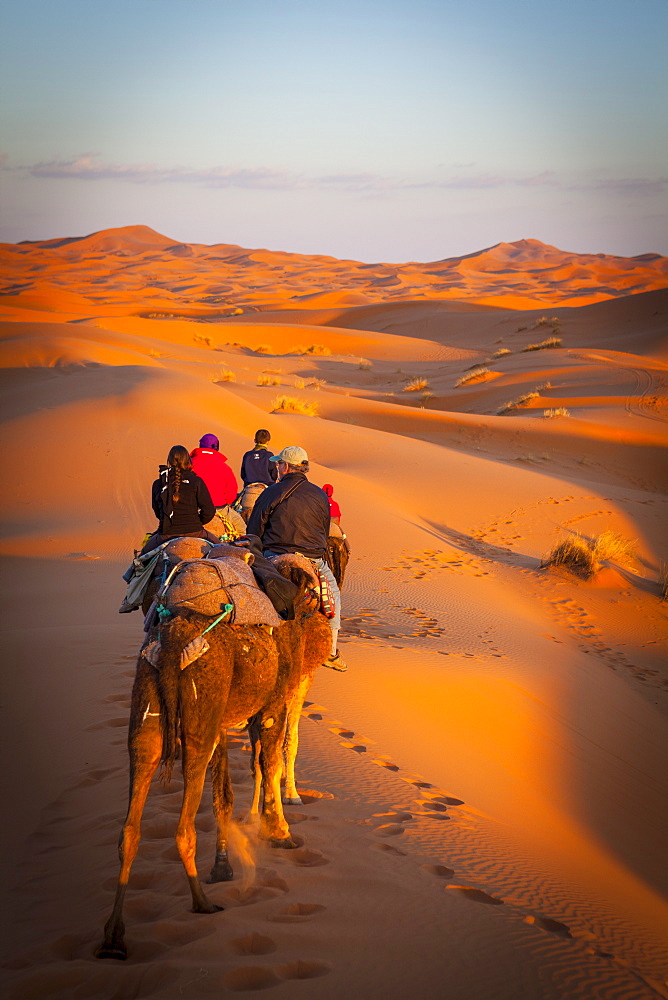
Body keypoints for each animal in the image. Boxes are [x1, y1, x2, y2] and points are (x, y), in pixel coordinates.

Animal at [98, 560, 330, 956]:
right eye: (312, 592)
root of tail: (174, 642)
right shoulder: (272, 703)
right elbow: (270, 762)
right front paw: (279, 832)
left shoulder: (222, 720)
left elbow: (224, 793)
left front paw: (225, 864)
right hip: (199, 709)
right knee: (184, 823)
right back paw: (202, 902)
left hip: (148, 708)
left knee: (130, 824)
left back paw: (114, 937)